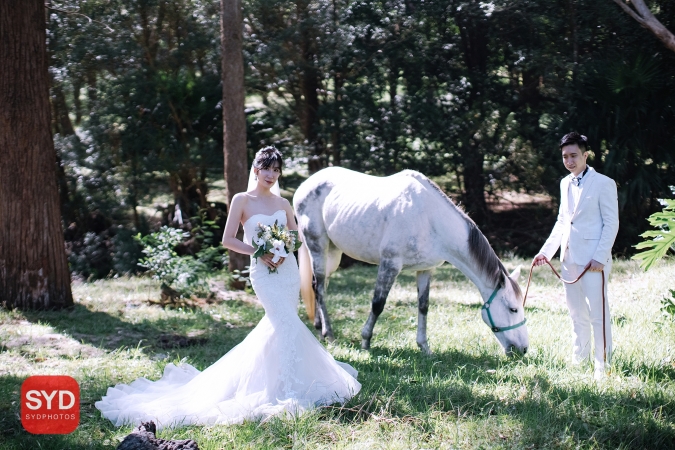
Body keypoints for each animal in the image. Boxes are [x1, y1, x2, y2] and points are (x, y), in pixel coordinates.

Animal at [294, 166, 532, 356]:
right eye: (513, 309)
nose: (523, 349)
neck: (430, 218)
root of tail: (306, 184)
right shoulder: (390, 264)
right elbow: (378, 304)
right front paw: (365, 340)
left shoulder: (425, 270)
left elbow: (423, 306)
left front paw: (424, 347)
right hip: (318, 245)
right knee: (320, 287)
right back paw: (329, 334)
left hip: (333, 253)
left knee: (318, 285)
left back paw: (319, 329)